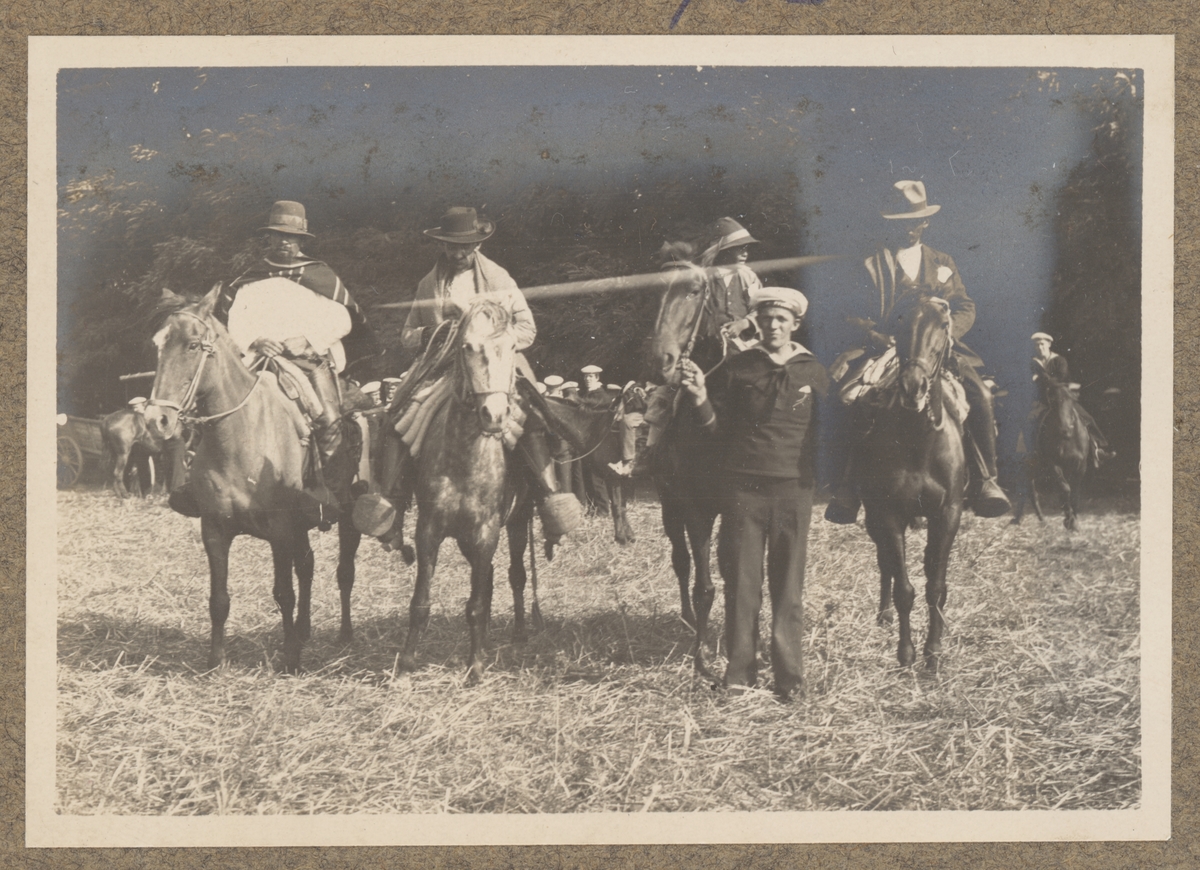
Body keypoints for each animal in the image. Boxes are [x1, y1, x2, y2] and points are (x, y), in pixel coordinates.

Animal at [144, 284, 363, 674]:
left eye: (193, 345)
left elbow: (283, 593)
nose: (157, 421)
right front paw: (216, 661)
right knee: (307, 567)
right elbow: (218, 598)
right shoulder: (215, 529)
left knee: (343, 572)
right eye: (158, 344)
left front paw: (290, 659)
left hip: (348, 516)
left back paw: (344, 634)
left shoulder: (280, 529)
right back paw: (304, 631)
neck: (241, 435)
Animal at [848, 296, 967, 668]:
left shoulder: (948, 514)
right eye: (900, 322)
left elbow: (936, 586)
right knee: (885, 562)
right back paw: (883, 614)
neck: (919, 442)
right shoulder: (889, 515)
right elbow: (903, 588)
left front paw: (934, 651)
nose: (913, 388)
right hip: (873, 518)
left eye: (942, 326)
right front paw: (906, 653)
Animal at [1016, 376, 1092, 531]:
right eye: (1053, 401)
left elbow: (1074, 492)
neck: (1069, 439)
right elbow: (1065, 489)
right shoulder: (1053, 465)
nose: (1065, 429)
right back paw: (1039, 520)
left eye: (1072, 400)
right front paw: (1068, 519)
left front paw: (1073, 520)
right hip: (1029, 466)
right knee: (1031, 491)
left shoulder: (1081, 465)